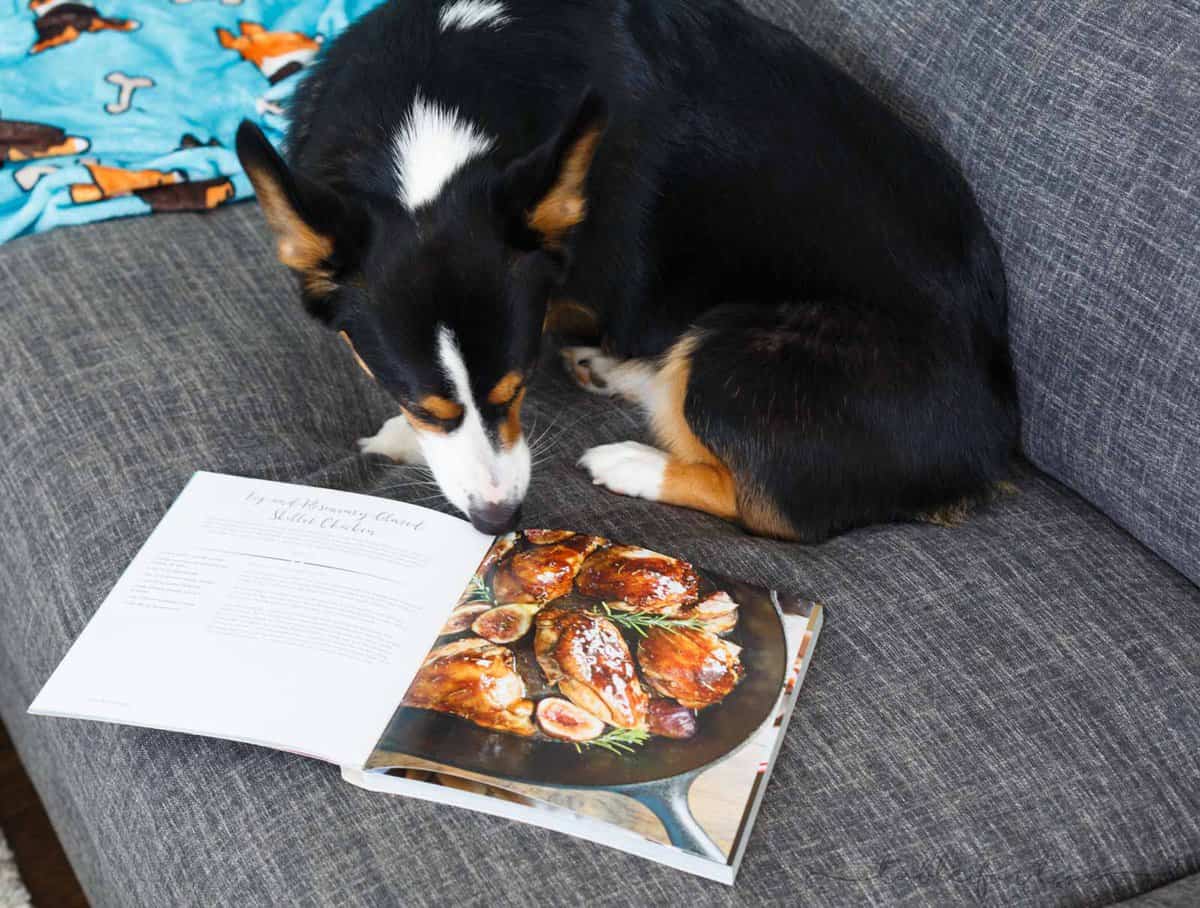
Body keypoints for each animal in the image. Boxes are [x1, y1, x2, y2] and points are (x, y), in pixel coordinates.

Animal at [236, 0, 1022, 537]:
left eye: (518, 386)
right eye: (425, 402)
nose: (499, 522)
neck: (431, 121)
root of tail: (996, 445)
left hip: (732, 359)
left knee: (767, 505)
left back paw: (634, 462)